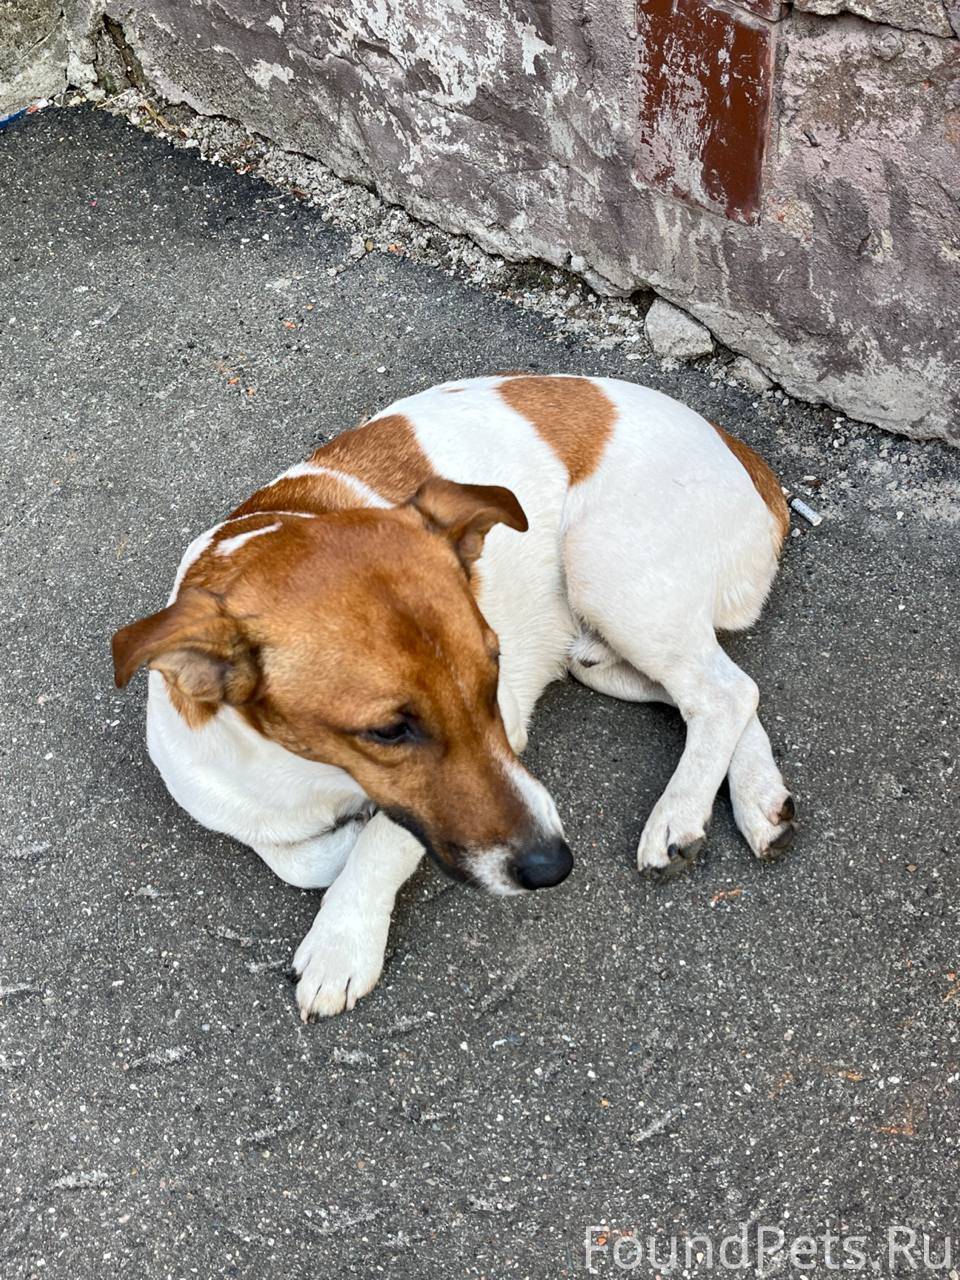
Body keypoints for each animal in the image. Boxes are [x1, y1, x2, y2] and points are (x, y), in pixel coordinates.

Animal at [112, 373, 793, 1018]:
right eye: (388, 731)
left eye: (491, 675)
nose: (554, 868)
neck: (311, 772)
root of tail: (739, 450)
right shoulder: (223, 796)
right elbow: (297, 856)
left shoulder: (505, 724)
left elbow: (384, 840)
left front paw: (342, 940)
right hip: (601, 651)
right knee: (723, 691)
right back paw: (760, 798)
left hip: (606, 569)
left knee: (722, 691)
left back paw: (680, 812)